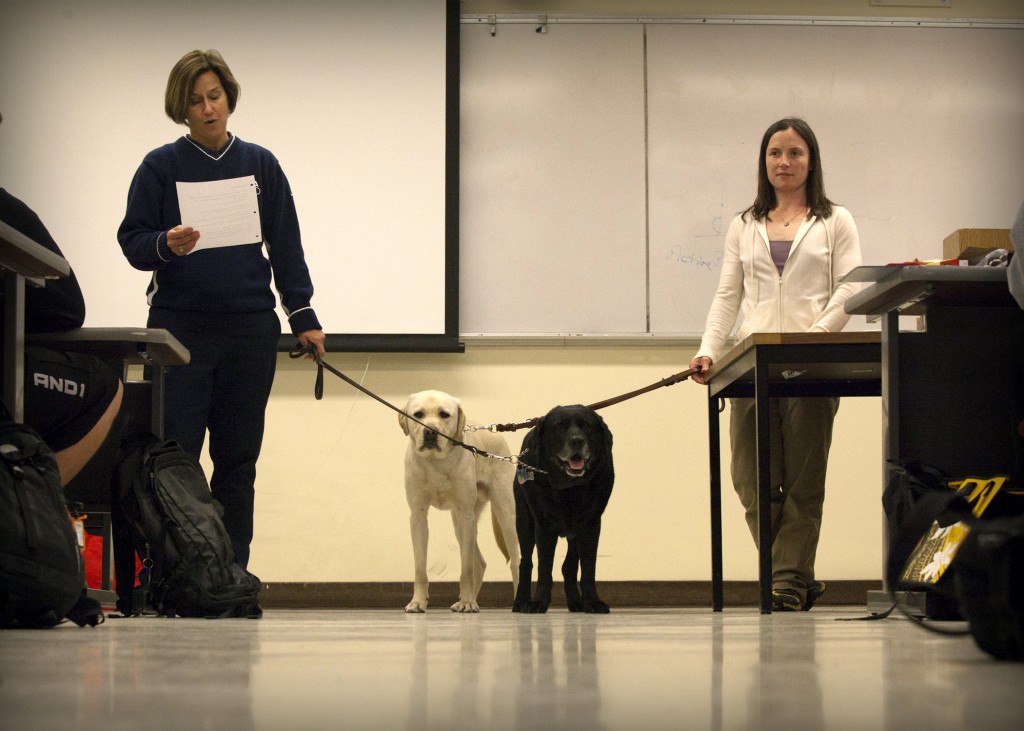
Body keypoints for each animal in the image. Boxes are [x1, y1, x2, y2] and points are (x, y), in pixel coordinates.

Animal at [399, 391, 520, 610]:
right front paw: (418, 601)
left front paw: (468, 602)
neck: (436, 462)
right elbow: (420, 568)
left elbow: (466, 568)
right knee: (480, 563)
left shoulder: (466, 515)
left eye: (444, 414)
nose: (430, 431)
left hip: (506, 515)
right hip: (459, 520)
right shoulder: (418, 516)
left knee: (516, 560)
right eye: (418, 414)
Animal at [516, 401, 610, 610]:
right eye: (559, 426)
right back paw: (520, 601)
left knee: (569, 566)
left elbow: (588, 567)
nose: (577, 441)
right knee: (525, 562)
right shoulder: (543, 525)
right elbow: (544, 567)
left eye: (586, 426)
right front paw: (538, 602)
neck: (569, 487)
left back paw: (576, 602)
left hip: (575, 531)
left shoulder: (591, 524)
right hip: (523, 521)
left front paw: (593, 601)